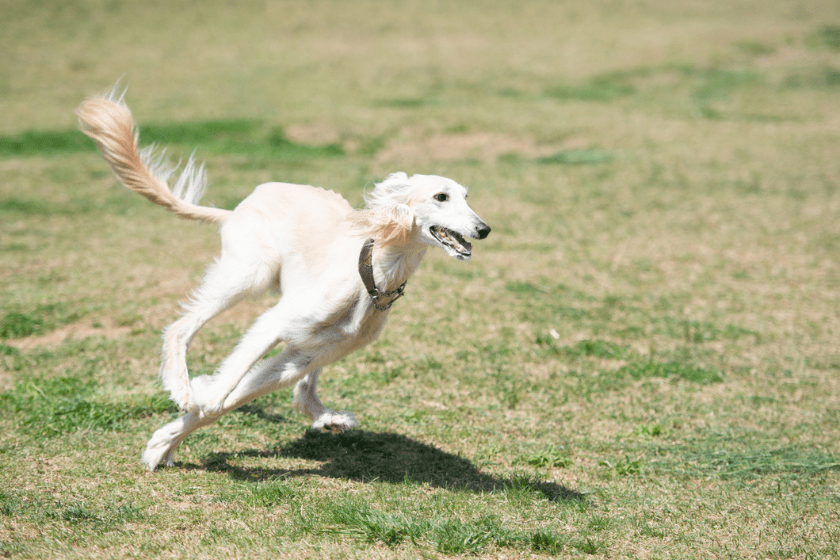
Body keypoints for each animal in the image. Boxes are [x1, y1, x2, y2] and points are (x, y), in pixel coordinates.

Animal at [77, 88, 492, 472]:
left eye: (467, 196)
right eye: (440, 196)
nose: (484, 229)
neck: (371, 275)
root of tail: (237, 207)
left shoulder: (301, 356)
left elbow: (238, 396)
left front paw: (163, 442)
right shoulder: (275, 322)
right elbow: (225, 389)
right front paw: (194, 401)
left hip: (310, 337)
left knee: (303, 390)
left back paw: (327, 417)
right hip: (250, 274)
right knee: (181, 328)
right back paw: (181, 384)